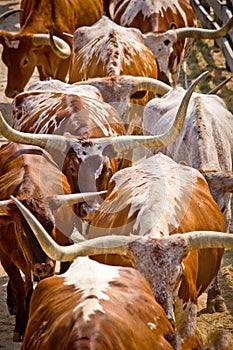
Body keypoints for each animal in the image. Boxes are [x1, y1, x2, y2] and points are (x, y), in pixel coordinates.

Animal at [0, 141, 104, 340]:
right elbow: (18, 285)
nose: (43, 266)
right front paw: (20, 325)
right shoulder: (5, 257)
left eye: (52, 226)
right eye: (21, 230)